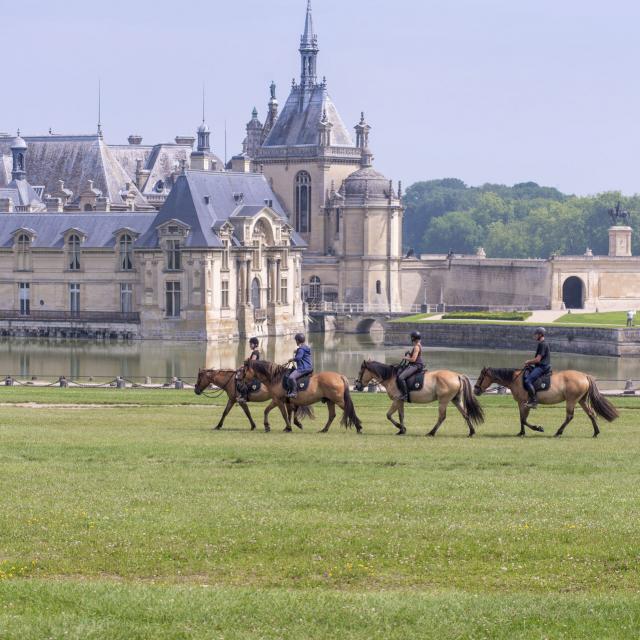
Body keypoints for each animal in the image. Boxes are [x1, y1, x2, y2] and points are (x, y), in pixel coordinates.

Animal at [352, 360, 482, 436]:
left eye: (360, 372)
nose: (357, 386)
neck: (391, 377)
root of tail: (457, 375)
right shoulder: (400, 401)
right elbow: (401, 415)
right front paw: (402, 430)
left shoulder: (396, 400)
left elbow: (388, 415)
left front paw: (400, 428)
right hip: (456, 400)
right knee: (465, 414)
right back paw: (471, 432)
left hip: (443, 401)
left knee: (442, 417)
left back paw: (431, 432)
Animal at [472, 368, 616, 438]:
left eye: (480, 377)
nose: (476, 390)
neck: (516, 380)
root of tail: (585, 376)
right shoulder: (521, 403)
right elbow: (521, 419)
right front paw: (521, 433)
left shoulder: (525, 403)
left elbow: (524, 419)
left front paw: (538, 428)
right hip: (581, 400)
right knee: (591, 414)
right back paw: (596, 432)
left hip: (571, 400)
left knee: (569, 416)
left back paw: (558, 432)